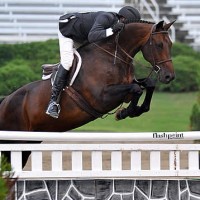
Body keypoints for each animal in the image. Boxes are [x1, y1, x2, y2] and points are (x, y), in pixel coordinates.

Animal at [0, 20, 175, 167]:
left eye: (170, 44)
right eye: (159, 45)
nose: (169, 76)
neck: (114, 55)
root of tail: (5, 101)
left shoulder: (126, 85)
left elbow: (148, 85)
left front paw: (132, 111)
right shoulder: (102, 98)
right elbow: (136, 89)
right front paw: (126, 112)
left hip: (28, 143)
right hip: (13, 142)